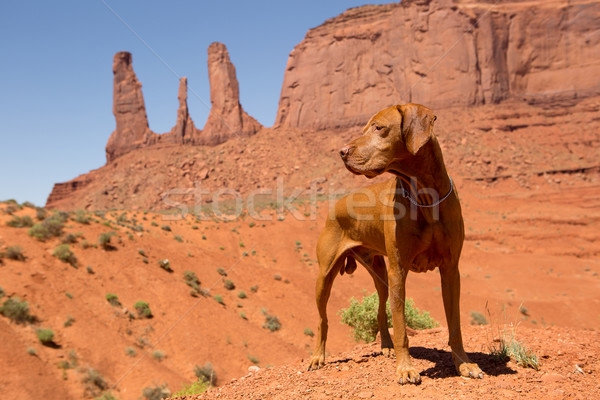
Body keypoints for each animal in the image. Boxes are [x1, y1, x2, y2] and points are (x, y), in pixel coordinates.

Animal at [310, 104, 482, 384]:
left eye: (378, 127)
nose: (342, 152)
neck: (425, 197)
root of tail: (335, 204)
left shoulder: (450, 270)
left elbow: (454, 325)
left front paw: (465, 364)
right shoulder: (399, 270)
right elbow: (402, 326)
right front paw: (406, 369)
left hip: (379, 272)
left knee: (381, 309)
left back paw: (386, 346)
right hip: (325, 275)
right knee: (322, 319)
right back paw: (317, 357)